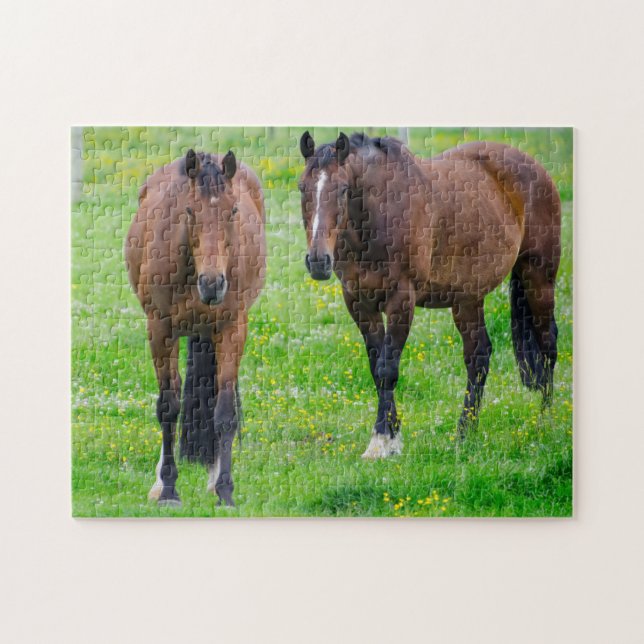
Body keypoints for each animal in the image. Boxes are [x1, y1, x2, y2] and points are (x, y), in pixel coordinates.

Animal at [125, 149, 266, 505]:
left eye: (233, 210)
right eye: (189, 210)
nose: (213, 284)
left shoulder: (232, 329)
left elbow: (225, 412)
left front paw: (225, 492)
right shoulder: (160, 330)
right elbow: (168, 407)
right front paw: (168, 490)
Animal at [298, 131, 560, 458]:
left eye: (344, 189)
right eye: (302, 187)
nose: (318, 261)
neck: (381, 214)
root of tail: (536, 168)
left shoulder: (401, 301)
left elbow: (387, 368)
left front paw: (381, 440)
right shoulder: (359, 303)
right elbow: (376, 367)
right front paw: (391, 437)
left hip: (538, 278)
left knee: (548, 345)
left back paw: (544, 422)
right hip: (467, 298)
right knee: (478, 356)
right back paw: (465, 432)